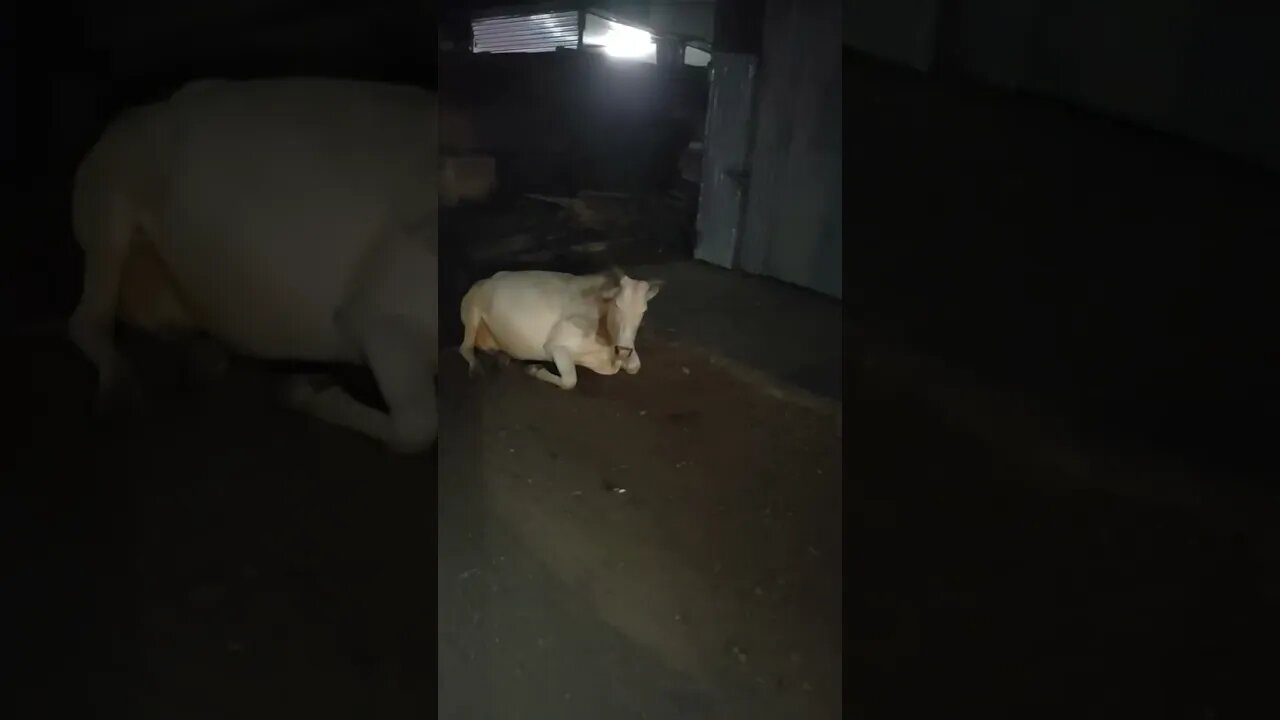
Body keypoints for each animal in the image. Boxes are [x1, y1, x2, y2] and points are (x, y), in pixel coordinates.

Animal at [68, 77, 440, 448]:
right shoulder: (378, 314)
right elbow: (418, 428)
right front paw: (300, 389)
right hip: (110, 203)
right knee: (88, 319)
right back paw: (119, 391)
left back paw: (203, 357)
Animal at [458, 266, 660, 386]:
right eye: (617, 305)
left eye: (643, 310)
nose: (623, 351)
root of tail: (490, 278)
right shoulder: (555, 345)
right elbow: (570, 381)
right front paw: (534, 369)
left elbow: (635, 366)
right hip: (472, 312)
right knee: (465, 347)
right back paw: (476, 368)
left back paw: (503, 357)